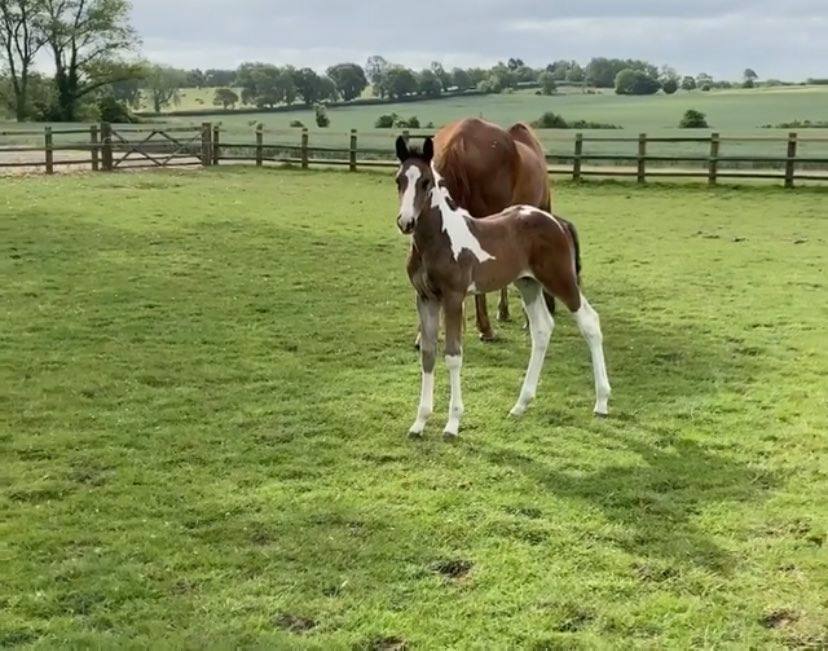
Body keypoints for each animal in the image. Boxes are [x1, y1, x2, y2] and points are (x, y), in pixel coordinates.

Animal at [398, 139, 612, 440]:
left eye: (426, 182)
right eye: (399, 180)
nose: (406, 222)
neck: (439, 239)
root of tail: (558, 222)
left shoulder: (453, 298)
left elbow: (453, 355)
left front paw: (452, 424)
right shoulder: (425, 298)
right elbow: (428, 354)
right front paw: (419, 423)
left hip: (561, 281)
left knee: (590, 322)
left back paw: (602, 402)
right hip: (528, 284)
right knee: (542, 329)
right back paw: (521, 405)